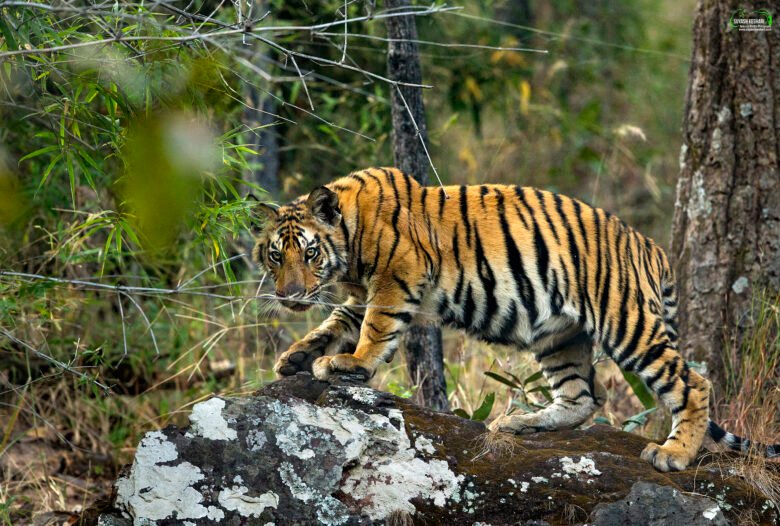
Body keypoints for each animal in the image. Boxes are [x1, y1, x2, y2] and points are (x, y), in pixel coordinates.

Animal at [251, 166, 779, 472]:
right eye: (276, 255)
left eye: (309, 252)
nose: (290, 295)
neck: (350, 243)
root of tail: (651, 247)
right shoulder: (363, 291)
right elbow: (336, 322)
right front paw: (297, 356)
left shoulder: (395, 279)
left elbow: (373, 329)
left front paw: (350, 365)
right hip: (560, 336)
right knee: (583, 398)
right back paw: (521, 424)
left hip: (626, 324)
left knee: (693, 384)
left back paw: (673, 454)